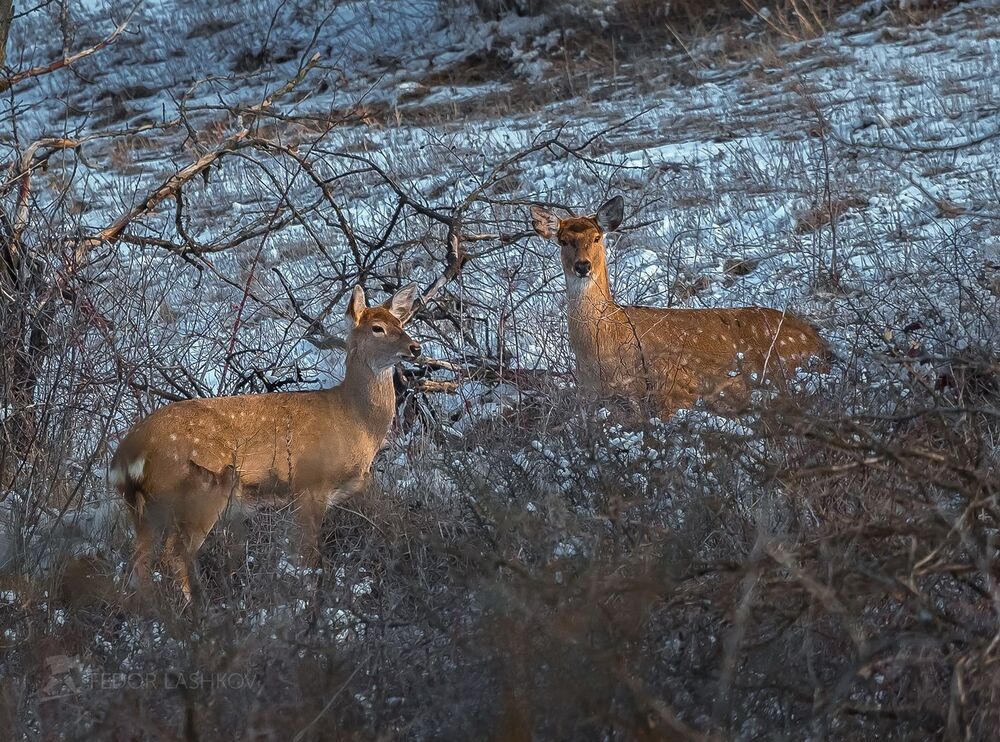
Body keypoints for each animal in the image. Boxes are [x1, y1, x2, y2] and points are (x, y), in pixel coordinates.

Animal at [109, 283, 421, 602]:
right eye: (377, 328)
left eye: (402, 323)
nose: (416, 348)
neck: (354, 421)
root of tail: (125, 456)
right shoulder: (310, 485)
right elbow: (309, 557)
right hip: (199, 492)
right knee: (173, 556)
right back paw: (196, 608)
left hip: (143, 511)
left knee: (138, 567)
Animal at [530, 196, 828, 417]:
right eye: (563, 240)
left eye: (596, 238)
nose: (583, 266)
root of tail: (821, 343)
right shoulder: (589, 397)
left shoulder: (673, 384)